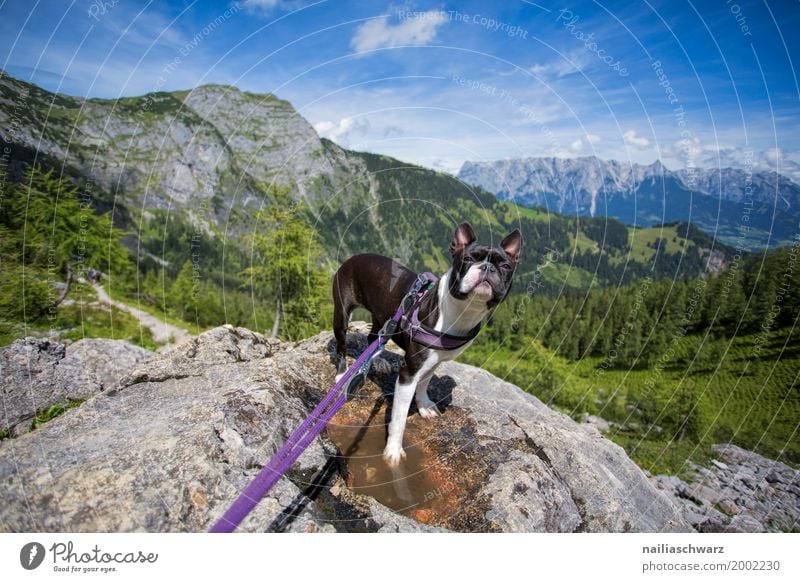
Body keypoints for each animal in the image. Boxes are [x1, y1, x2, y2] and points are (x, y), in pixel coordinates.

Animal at [330, 221, 520, 468]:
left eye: (505, 265)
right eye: (468, 259)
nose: (487, 268)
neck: (461, 312)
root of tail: (354, 257)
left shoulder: (434, 360)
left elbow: (425, 382)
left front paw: (424, 406)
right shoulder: (408, 373)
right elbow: (399, 417)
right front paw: (393, 451)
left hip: (384, 315)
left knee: (374, 338)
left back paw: (379, 361)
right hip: (342, 312)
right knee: (342, 343)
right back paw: (342, 372)